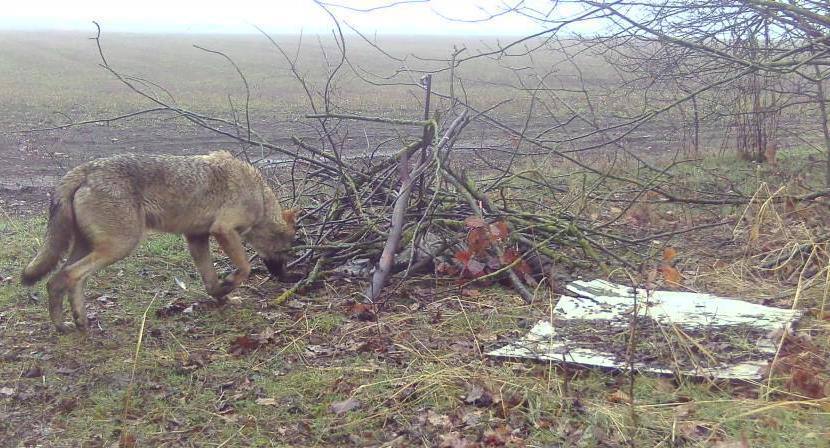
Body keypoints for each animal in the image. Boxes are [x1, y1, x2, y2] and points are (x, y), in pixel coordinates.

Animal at [19, 150, 300, 332]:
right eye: (286, 251)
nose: (287, 277)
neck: (259, 195)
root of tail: (84, 170)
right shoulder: (224, 230)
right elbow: (245, 268)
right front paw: (230, 284)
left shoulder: (196, 239)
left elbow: (210, 282)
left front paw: (223, 298)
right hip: (119, 246)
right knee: (63, 277)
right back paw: (61, 325)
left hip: (90, 248)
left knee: (69, 280)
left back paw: (80, 321)